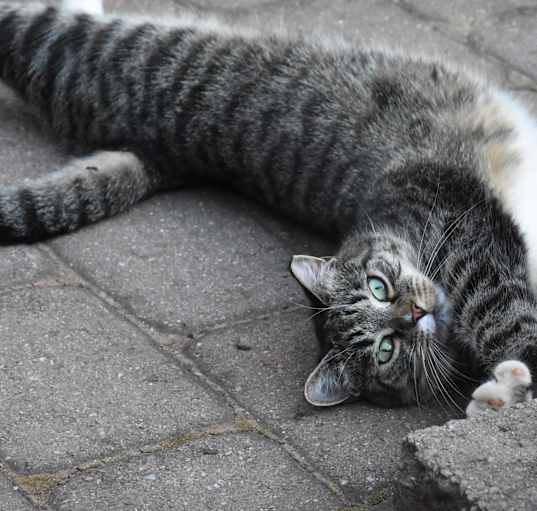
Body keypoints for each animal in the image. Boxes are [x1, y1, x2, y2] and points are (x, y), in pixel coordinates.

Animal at [1, 0, 536, 416]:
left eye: (378, 287)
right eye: (387, 349)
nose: (414, 313)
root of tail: (162, 152)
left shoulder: (465, 234)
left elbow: (508, 318)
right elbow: (509, 317)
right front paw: (503, 395)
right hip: (69, 52)